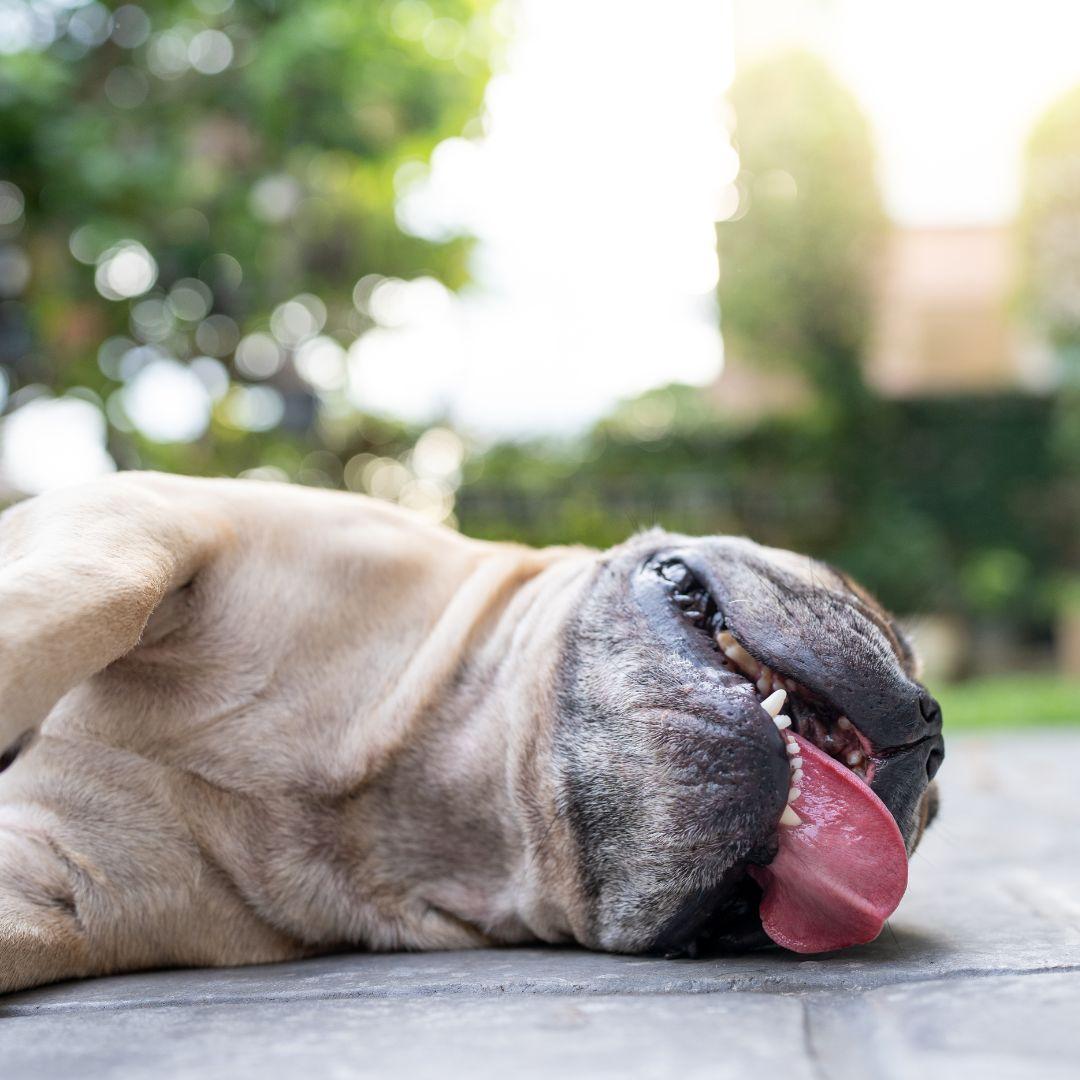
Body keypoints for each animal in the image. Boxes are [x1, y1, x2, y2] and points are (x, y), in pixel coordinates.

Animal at [0, 473, 941, 993]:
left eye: (742, 919)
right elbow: (88, 598)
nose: (934, 744)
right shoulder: (150, 516)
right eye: (879, 619)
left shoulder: (49, 890)